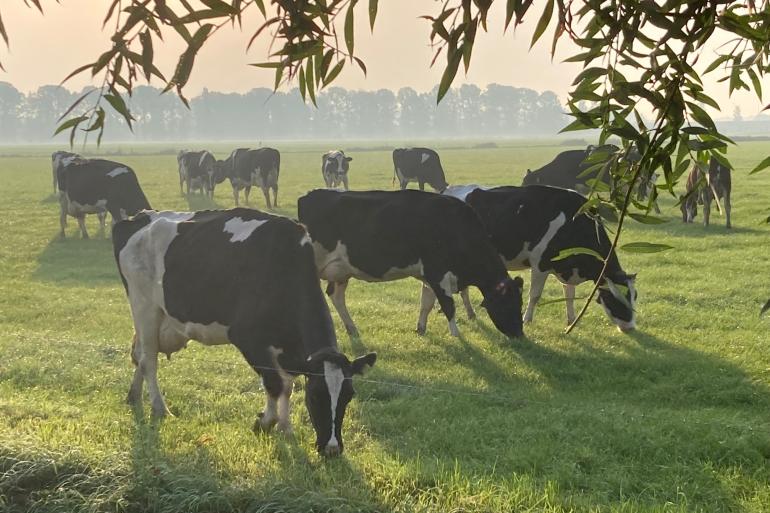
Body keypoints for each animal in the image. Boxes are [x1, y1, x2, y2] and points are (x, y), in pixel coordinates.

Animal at [112, 206, 376, 454]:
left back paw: (134, 396)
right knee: (149, 359)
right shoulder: (248, 339)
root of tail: (139, 217)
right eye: (315, 395)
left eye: (349, 395)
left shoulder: (288, 350)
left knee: (140, 355)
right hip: (145, 307)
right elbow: (275, 383)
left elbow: (288, 386)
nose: (332, 449)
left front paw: (286, 429)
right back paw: (160, 408)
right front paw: (265, 422)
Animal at [296, 190, 524, 338]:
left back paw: (352, 329)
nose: (519, 334)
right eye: (508, 304)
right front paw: (456, 334)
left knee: (336, 296)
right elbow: (448, 306)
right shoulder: (437, 272)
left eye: (520, 303)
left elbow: (426, 303)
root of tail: (311, 195)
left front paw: (421, 329)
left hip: (341, 271)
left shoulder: (429, 275)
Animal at [462, 186, 636, 330]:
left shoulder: (567, 267)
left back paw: (471, 314)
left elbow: (569, 296)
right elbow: (535, 295)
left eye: (635, 296)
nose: (630, 327)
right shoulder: (540, 264)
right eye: (614, 298)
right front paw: (527, 319)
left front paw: (571, 320)